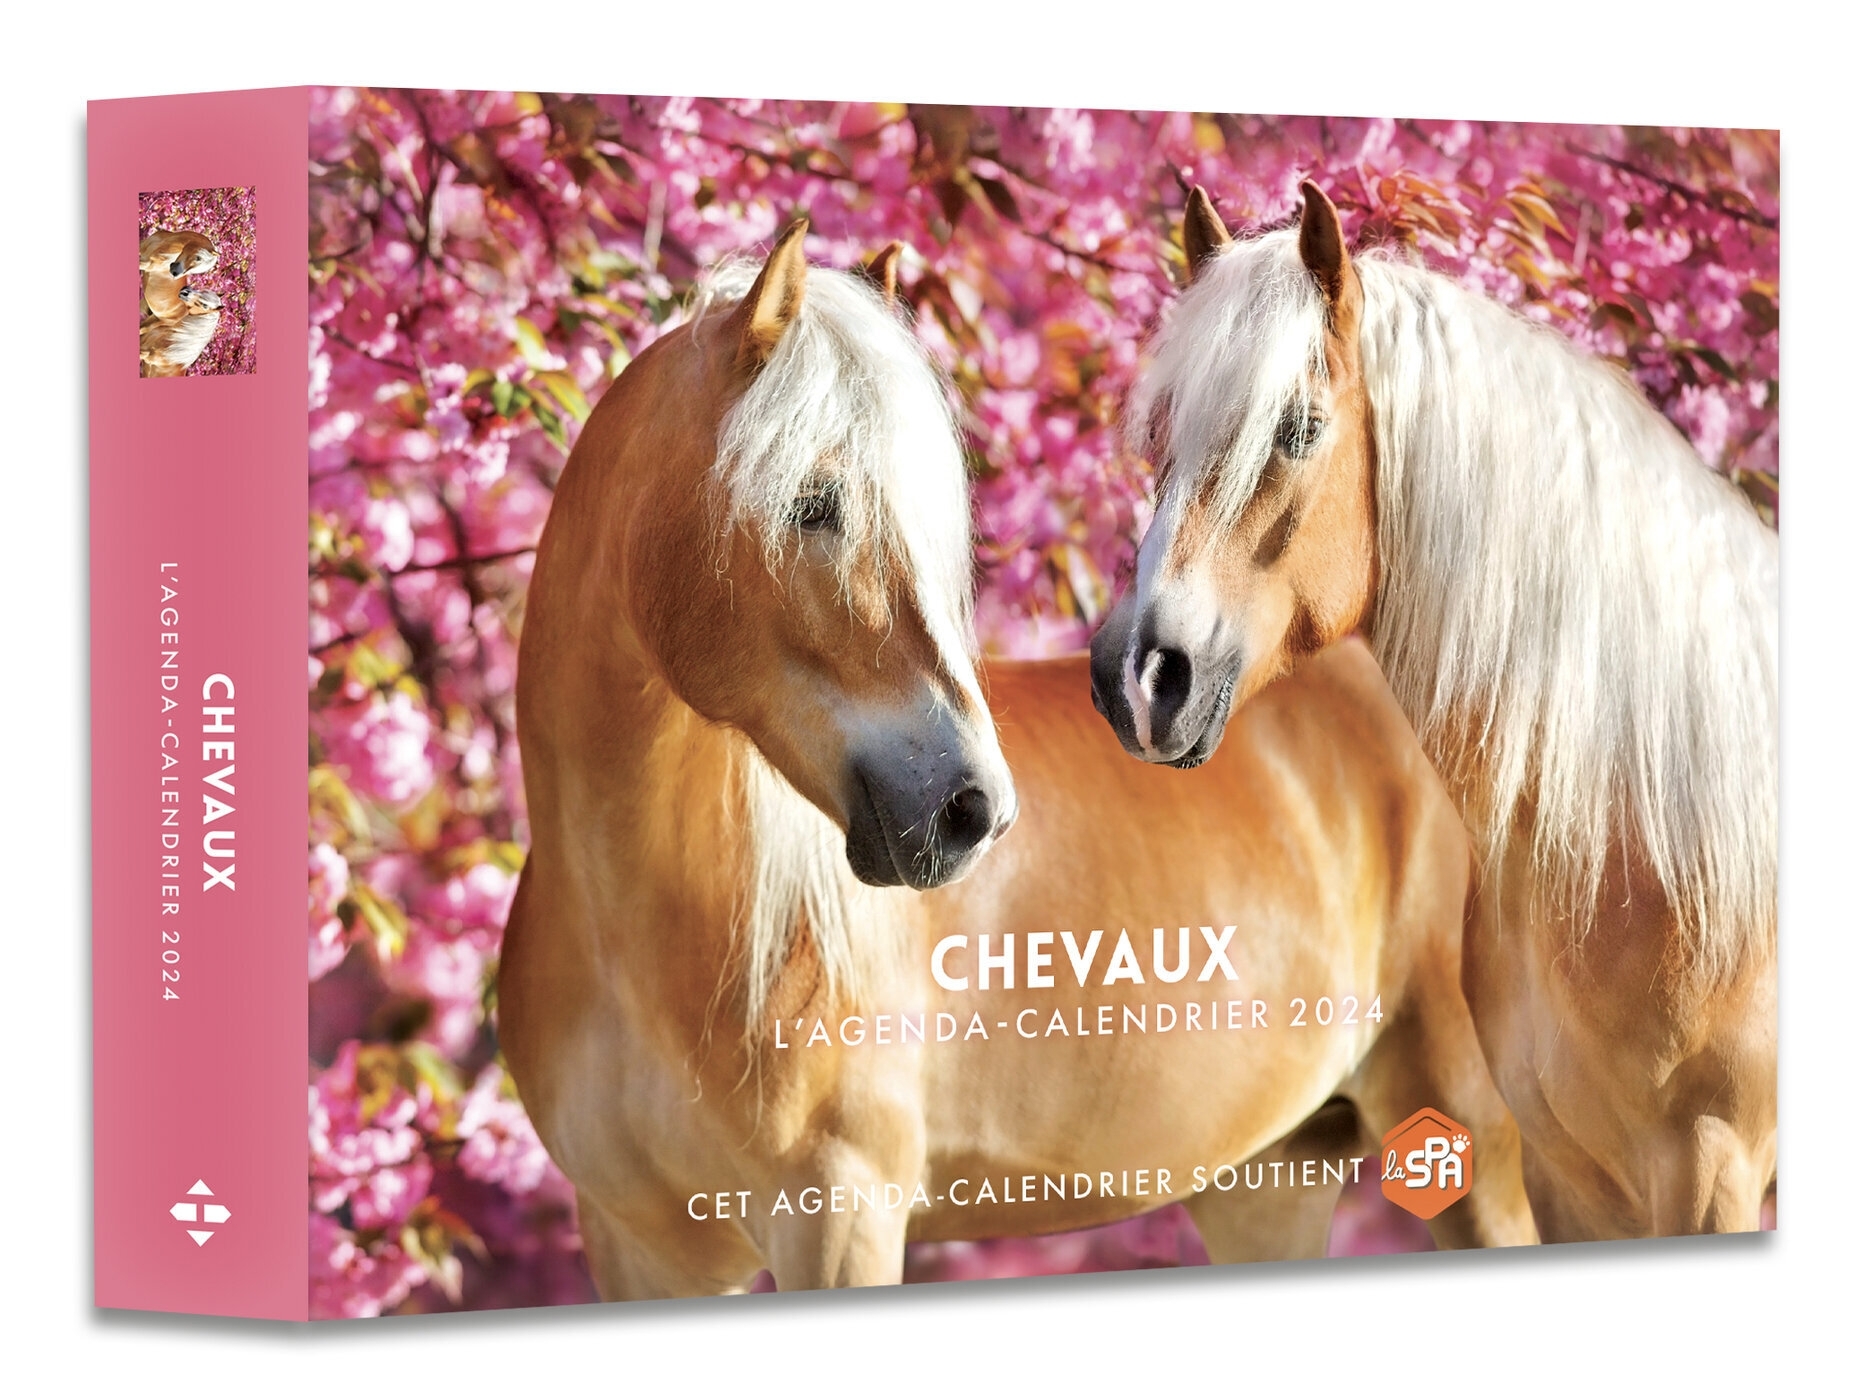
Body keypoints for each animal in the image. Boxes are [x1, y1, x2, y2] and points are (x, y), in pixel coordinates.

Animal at [497, 220, 1535, 1299]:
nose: (970, 810)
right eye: (813, 503)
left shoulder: (839, 1217)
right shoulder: (639, 1246)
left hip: (1469, 1131)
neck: (641, 931)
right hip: (1269, 1179)